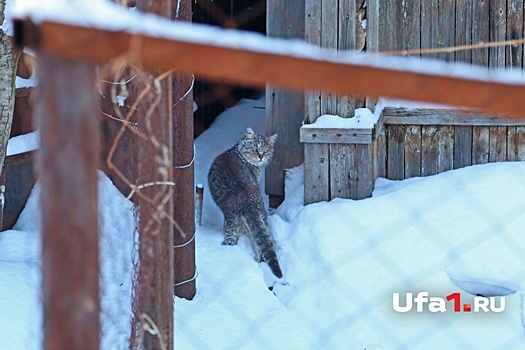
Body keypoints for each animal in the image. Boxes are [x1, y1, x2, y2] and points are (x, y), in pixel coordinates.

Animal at [209, 127, 282, 278]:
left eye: (266, 150)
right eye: (256, 149)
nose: (261, 156)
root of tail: (249, 202)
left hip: (231, 224)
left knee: (231, 240)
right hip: (262, 219)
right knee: (264, 243)